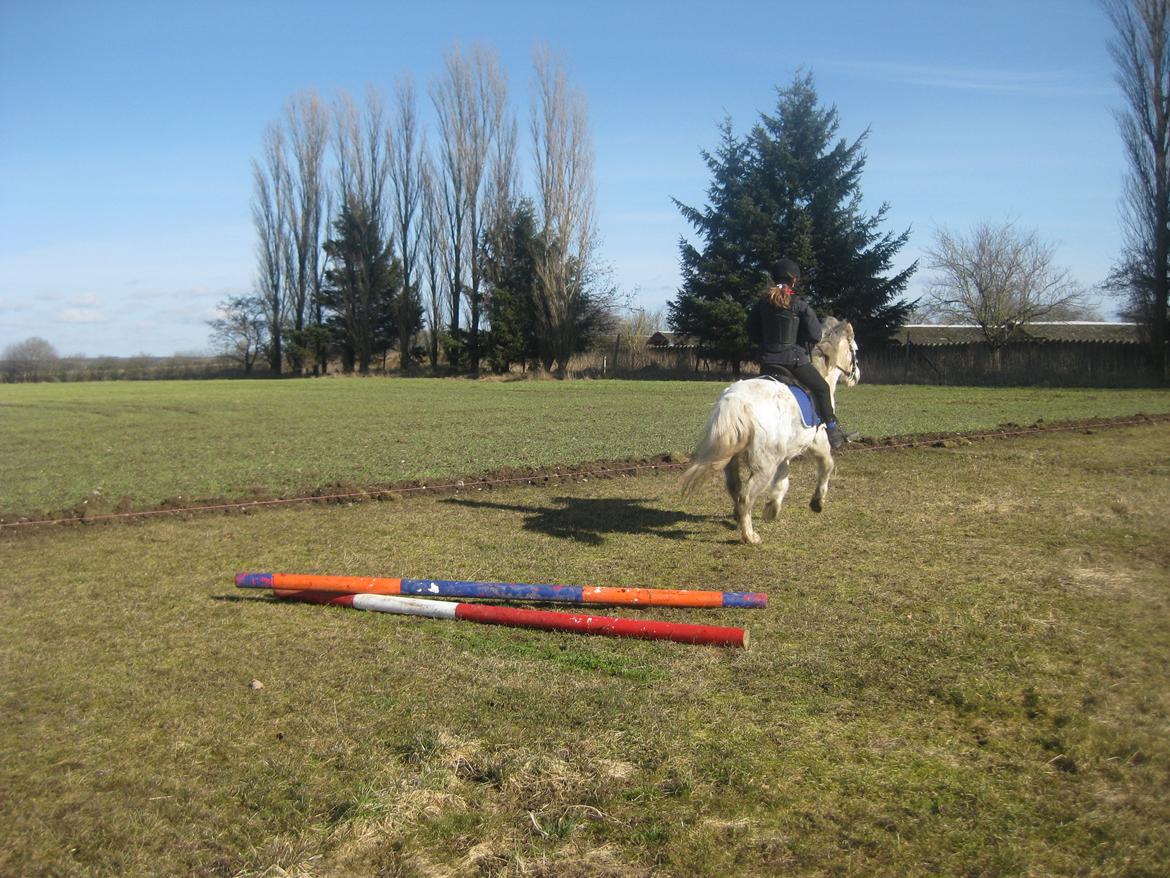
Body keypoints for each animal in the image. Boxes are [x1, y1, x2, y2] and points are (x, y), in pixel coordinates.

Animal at [683, 320, 865, 543]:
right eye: (855, 349)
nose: (857, 375)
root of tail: (737, 401)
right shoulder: (818, 444)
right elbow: (827, 466)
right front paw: (817, 503)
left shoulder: (784, 455)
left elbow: (782, 482)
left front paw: (772, 508)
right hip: (764, 466)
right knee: (746, 496)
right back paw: (750, 536)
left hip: (734, 460)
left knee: (735, 489)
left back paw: (739, 519)